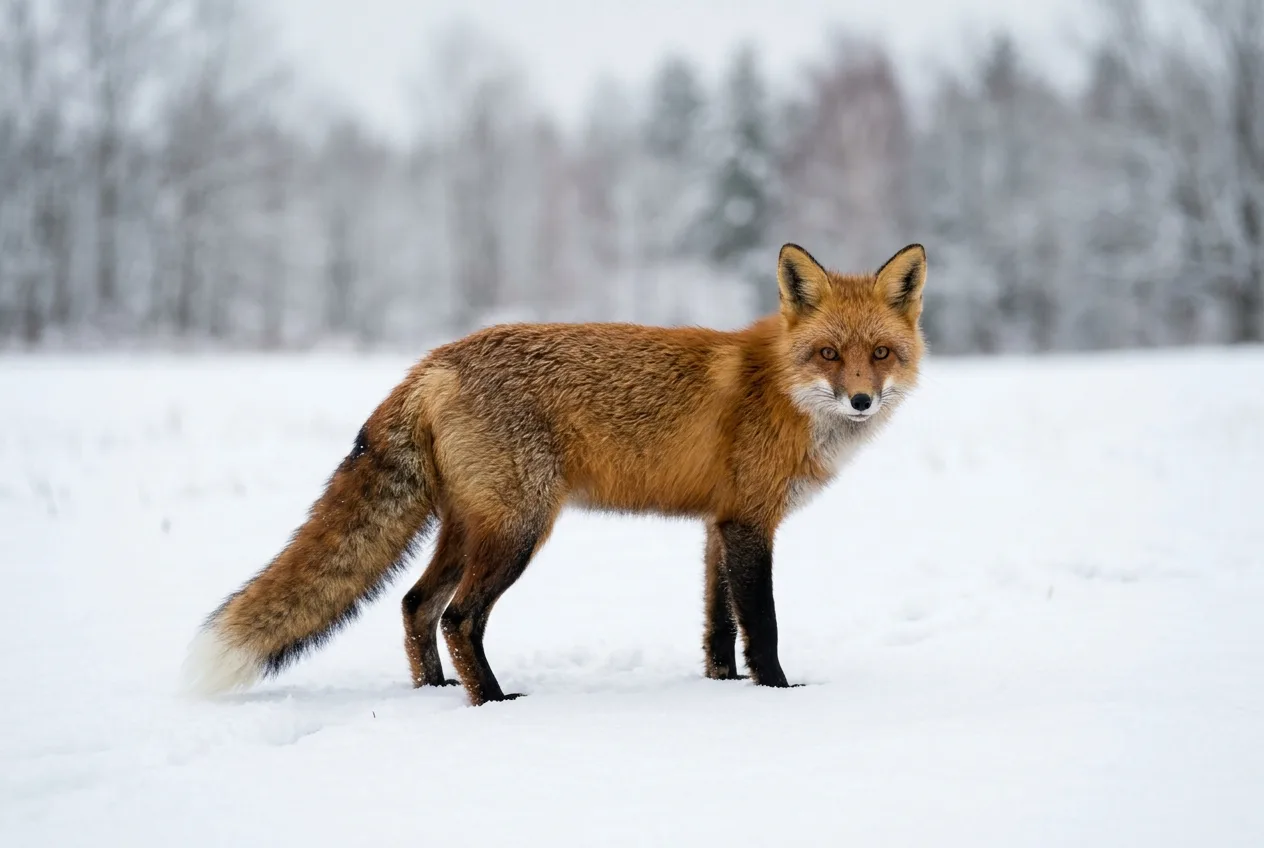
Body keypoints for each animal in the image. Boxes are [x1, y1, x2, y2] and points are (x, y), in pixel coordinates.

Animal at [183, 242, 928, 705]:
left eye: (880, 353)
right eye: (828, 354)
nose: (861, 401)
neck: (781, 389)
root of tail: (434, 360)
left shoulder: (718, 524)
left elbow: (718, 627)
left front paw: (720, 688)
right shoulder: (749, 523)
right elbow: (762, 626)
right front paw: (776, 693)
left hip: (470, 526)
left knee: (415, 605)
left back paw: (435, 693)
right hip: (519, 528)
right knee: (458, 617)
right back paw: (493, 703)